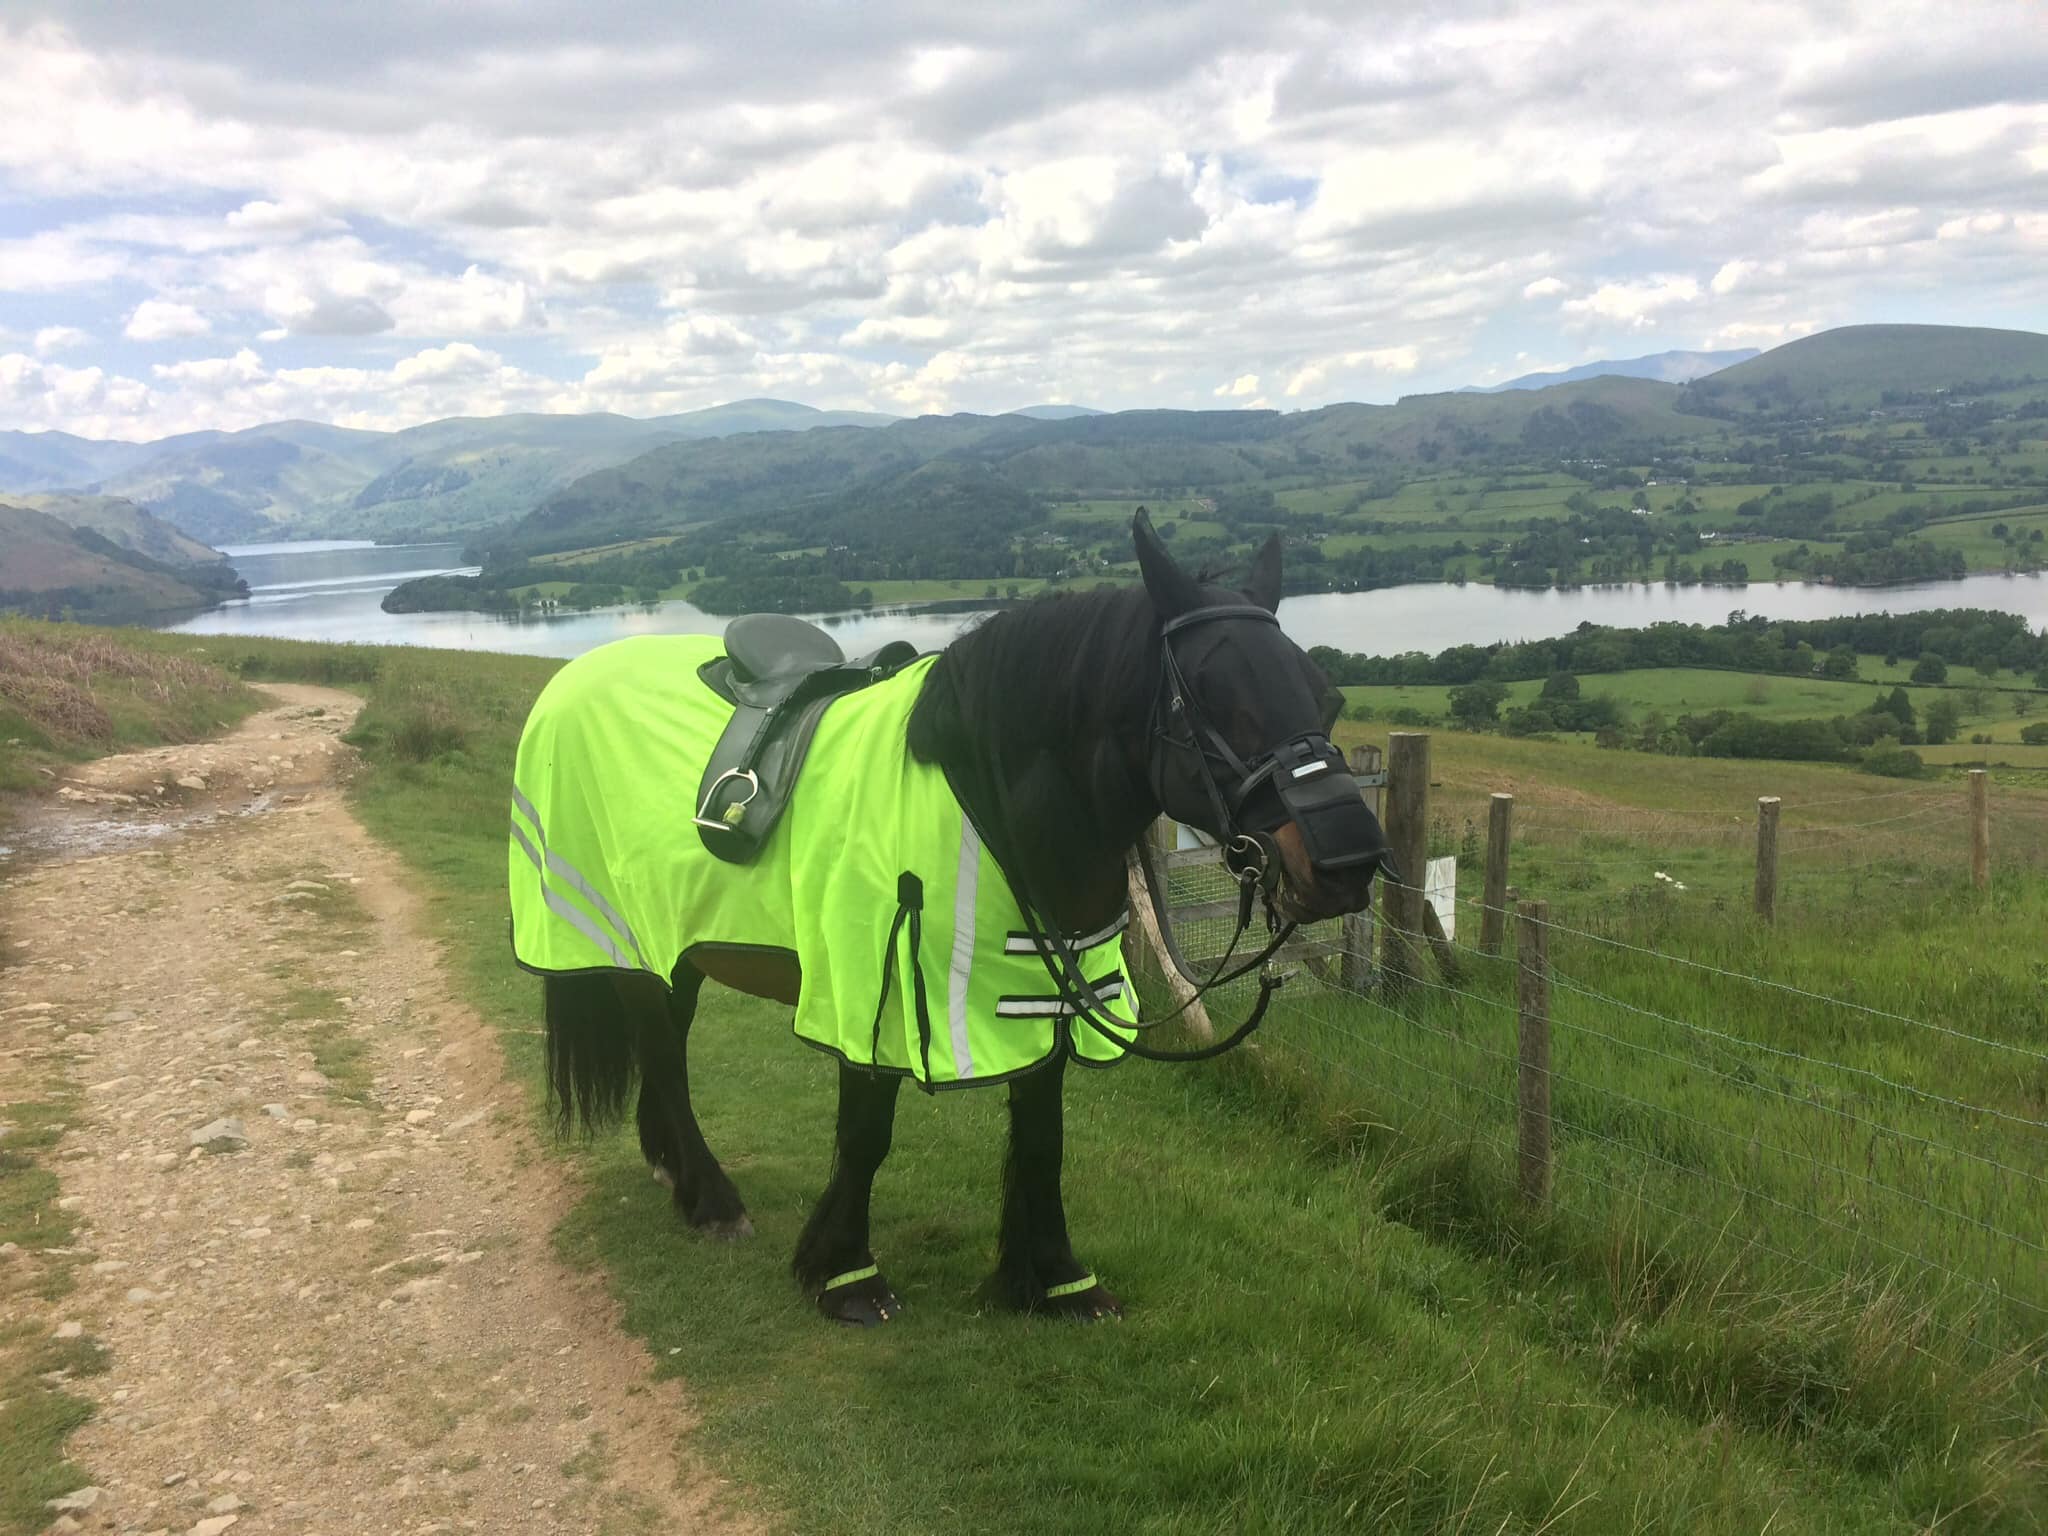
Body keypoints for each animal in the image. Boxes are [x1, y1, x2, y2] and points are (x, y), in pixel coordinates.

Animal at [536, 514, 1384, 1327]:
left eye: (1327, 697)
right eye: (1209, 697)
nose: (1349, 862)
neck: (989, 792)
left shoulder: (1043, 992)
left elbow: (1043, 1135)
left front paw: (1055, 1281)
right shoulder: (869, 993)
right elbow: (866, 1135)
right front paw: (844, 1275)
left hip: (674, 951)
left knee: (667, 1045)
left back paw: (673, 1169)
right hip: (636, 939)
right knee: (663, 1052)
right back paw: (710, 1201)